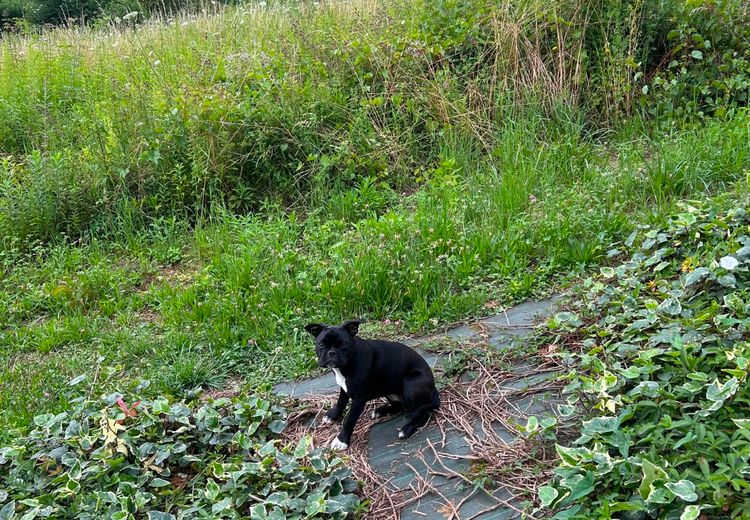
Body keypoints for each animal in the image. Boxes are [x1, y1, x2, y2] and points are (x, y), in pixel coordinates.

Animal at [304, 318, 438, 448]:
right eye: (321, 344)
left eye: (343, 344)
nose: (331, 352)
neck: (348, 363)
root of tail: (433, 388)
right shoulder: (344, 387)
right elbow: (341, 401)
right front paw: (333, 416)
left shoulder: (358, 399)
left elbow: (350, 420)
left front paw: (341, 440)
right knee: (401, 406)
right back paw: (380, 411)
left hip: (410, 386)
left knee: (423, 413)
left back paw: (407, 429)